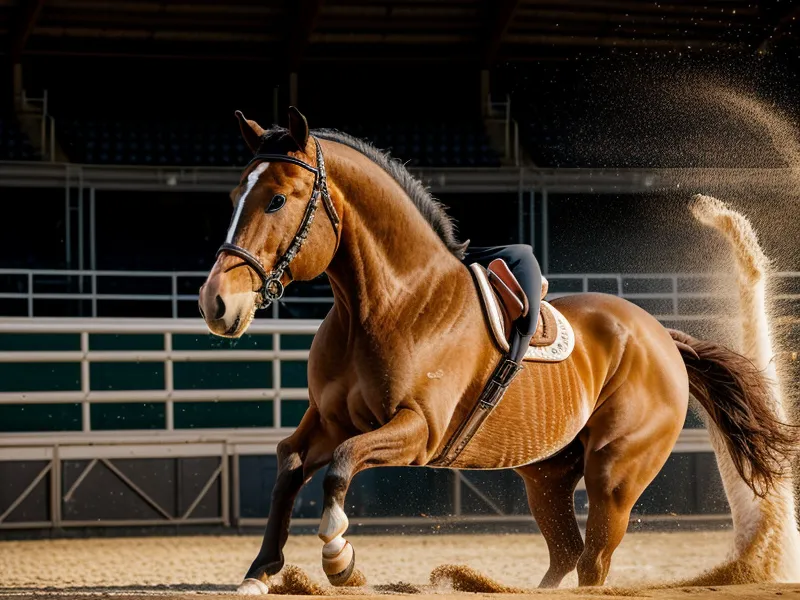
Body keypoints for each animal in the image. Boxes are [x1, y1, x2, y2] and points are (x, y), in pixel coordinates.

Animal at [198, 107, 799, 594]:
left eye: (277, 199)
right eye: (233, 197)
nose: (215, 302)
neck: (387, 304)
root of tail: (662, 338)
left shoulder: (416, 431)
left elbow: (341, 468)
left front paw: (340, 559)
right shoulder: (329, 420)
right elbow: (289, 466)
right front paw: (260, 571)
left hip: (615, 474)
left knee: (594, 562)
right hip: (547, 477)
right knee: (566, 554)